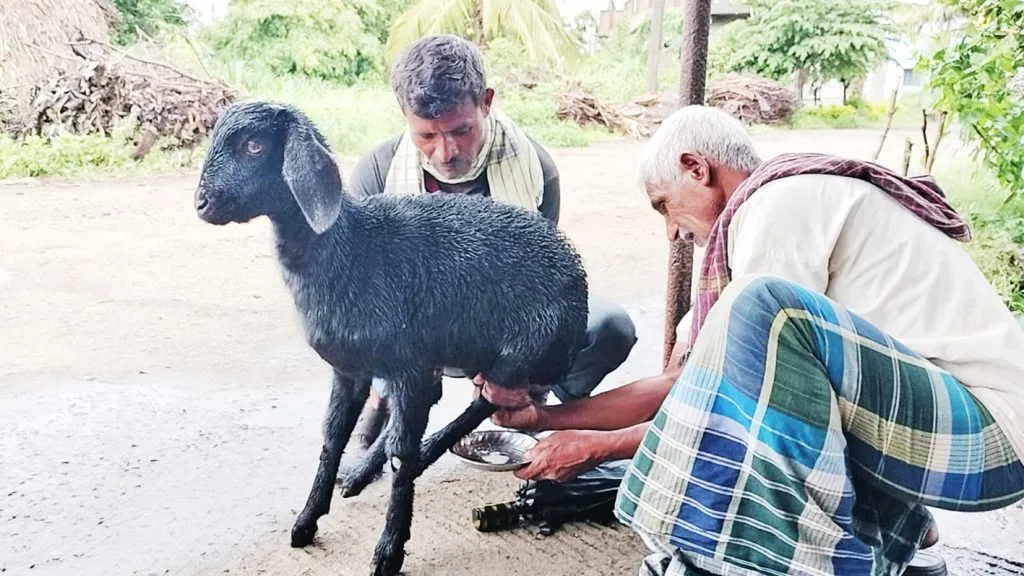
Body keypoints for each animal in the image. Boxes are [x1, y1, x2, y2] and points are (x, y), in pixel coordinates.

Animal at [194, 100, 589, 569]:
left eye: (254, 145)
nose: (201, 203)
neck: (349, 249)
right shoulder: (350, 370)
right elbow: (332, 438)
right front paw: (307, 521)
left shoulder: (408, 365)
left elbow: (400, 453)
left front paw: (389, 550)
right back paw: (365, 472)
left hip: (520, 353)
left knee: (478, 405)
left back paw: (422, 453)